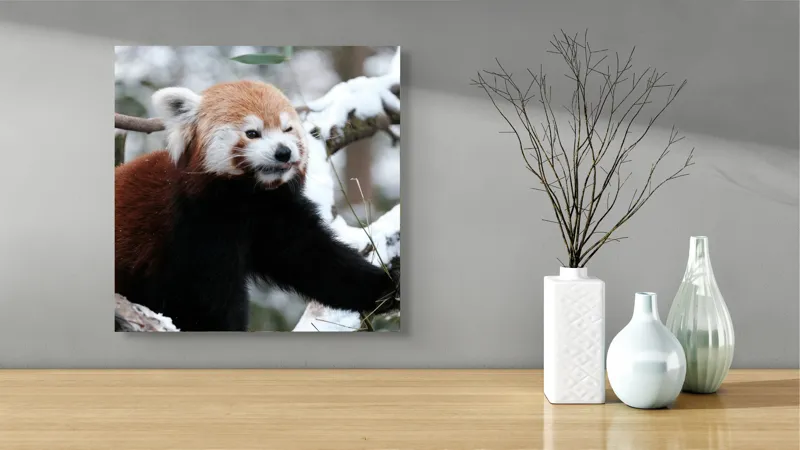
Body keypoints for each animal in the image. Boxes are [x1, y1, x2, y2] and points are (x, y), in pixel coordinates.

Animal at [115, 80, 399, 331]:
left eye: (287, 129)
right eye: (252, 133)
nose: (283, 152)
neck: (246, 198)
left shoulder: (274, 214)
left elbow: (315, 258)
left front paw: (384, 287)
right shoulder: (195, 228)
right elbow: (207, 301)